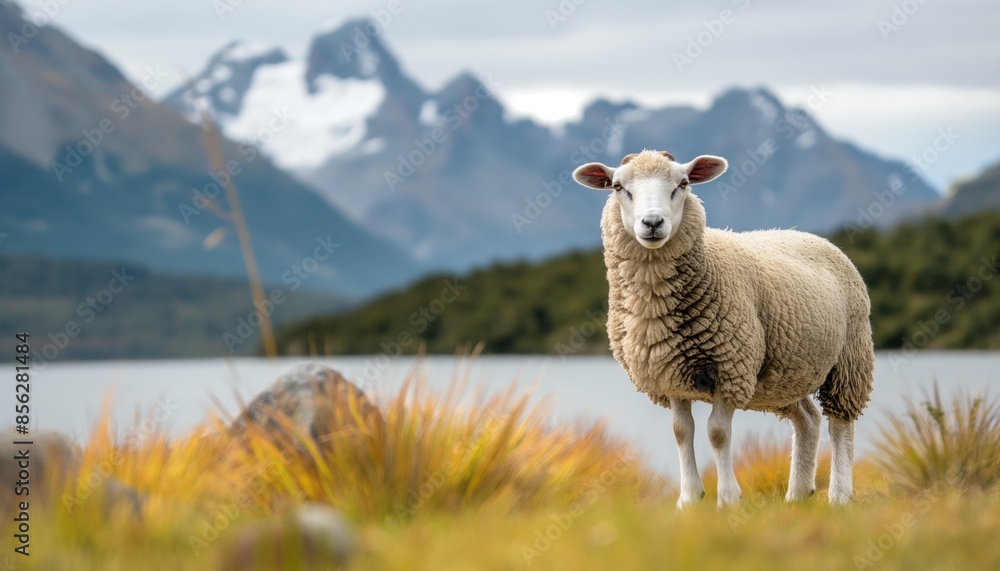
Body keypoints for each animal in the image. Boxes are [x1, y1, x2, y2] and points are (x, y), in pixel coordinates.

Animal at [572, 149, 874, 507]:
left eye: (683, 184)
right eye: (618, 186)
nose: (653, 223)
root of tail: (806, 234)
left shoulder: (731, 367)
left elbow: (717, 433)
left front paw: (728, 498)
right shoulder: (669, 372)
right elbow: (681, 431)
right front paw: (689, 499)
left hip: (849, 358)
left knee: (840, 423)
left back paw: (839, 495)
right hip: (785, 374)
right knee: (809, 421)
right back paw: (797, 495)